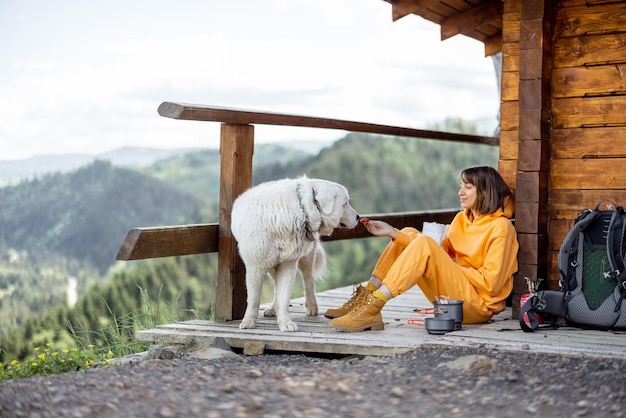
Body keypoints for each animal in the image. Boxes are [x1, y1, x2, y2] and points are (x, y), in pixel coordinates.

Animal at [229, 177, 358, 334]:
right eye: (345, 203)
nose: (358, 217)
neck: (301, 208)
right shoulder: (256, 266)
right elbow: (254, 299)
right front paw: (249, 321)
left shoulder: (288, 264)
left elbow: (284, 297)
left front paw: (285, 322)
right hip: (273, 265)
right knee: (276, 286)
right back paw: (273, 309)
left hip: (306, 258)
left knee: (308, 281)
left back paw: (312, 307)